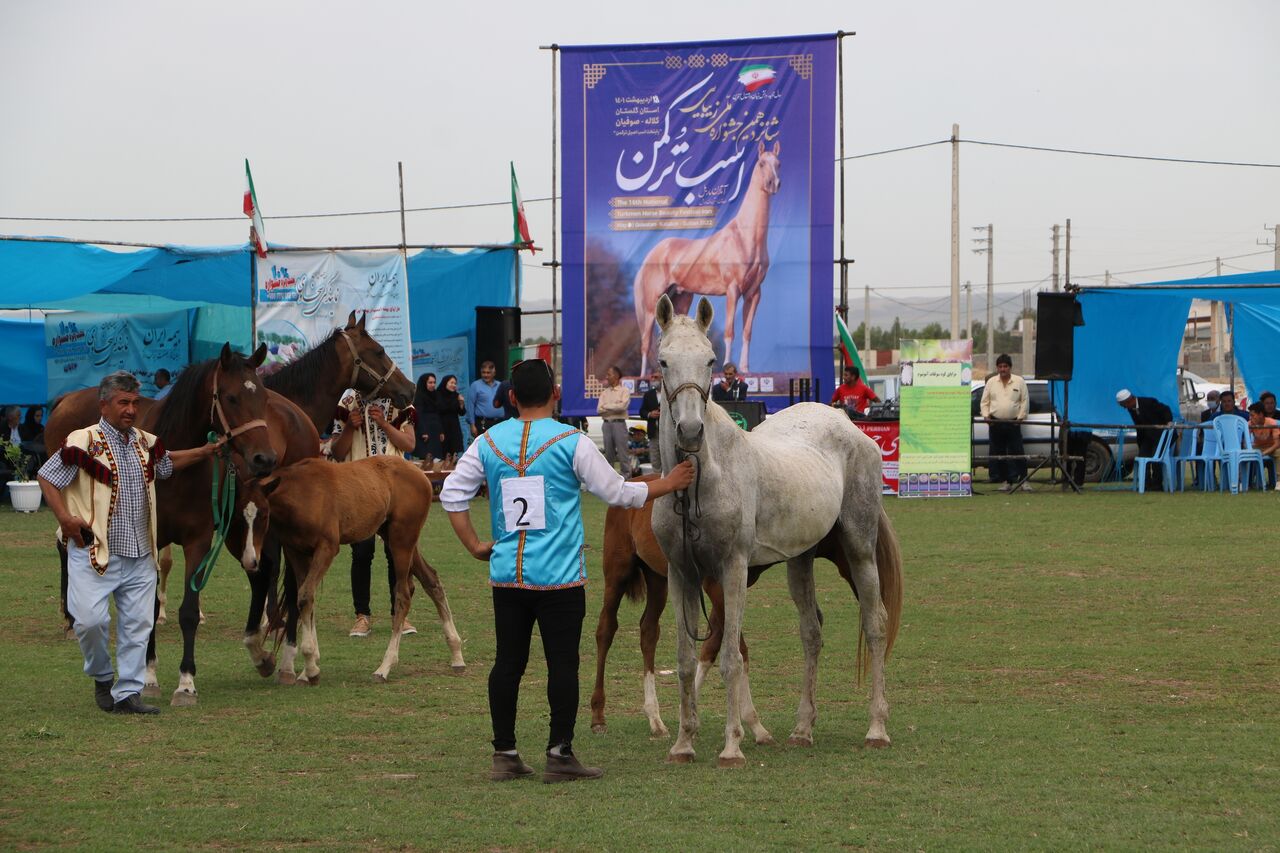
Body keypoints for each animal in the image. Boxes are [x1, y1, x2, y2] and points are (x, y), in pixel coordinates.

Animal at [235, 455, 465, 681]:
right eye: (238, 517)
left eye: (264, 514)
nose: (250, 560)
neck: (301, 493)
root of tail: (421, 475)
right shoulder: (296, 552)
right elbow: (305, 598)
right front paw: (309, 667)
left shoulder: (327, 548)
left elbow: (305, 596)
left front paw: (310, 664)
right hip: (394, 537)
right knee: (432, 581)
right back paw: (456, 655)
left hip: (402, 540)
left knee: (403, 594)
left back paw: (385, 666)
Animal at [637, 137, 783, 373]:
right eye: (761, 163)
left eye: (778, 164)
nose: (773, 184)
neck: (744, 237)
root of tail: (654, 252)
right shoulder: (733, 289)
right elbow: (730, 330)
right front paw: (727, 366)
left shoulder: (754, 293)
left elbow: (747, 331)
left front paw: (745, 370)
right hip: (652, 303)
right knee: (645, 339)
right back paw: (642, 376)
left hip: (680, 299)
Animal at [650, 292, 901, 763]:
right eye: (662, 361)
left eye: (711, 360)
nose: (690, 431)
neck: (702, 480)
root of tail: (848, 424)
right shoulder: (682, 573)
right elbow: (686, 659)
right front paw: (683, 743)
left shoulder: (732, 569)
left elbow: (730, 657)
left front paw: (732, 746)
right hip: (801, 558)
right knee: (811, 633)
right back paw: (802, 729)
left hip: (859, 547)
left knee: (875, 623)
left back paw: (876, 728)